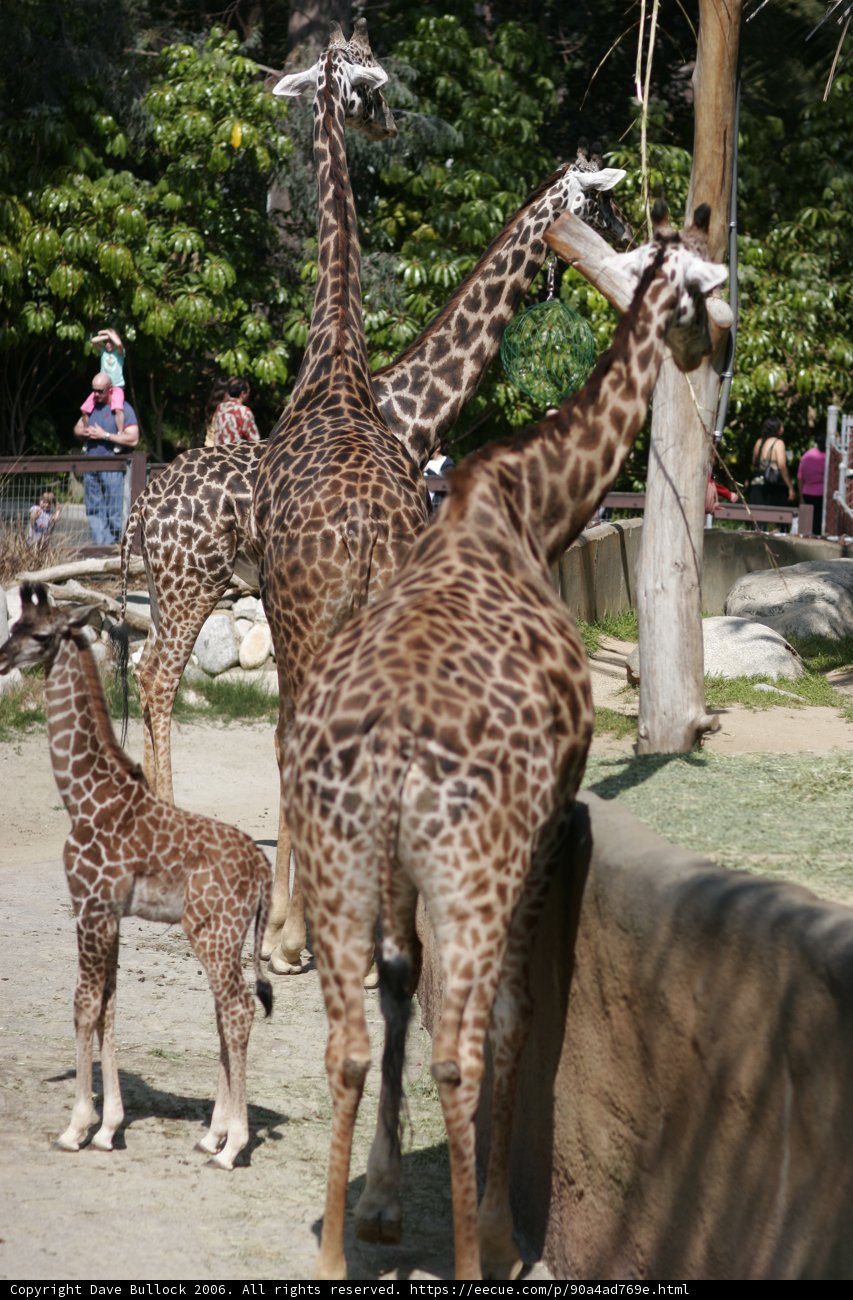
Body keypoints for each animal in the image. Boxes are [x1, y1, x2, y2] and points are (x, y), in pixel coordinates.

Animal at [0, 583, 273, 1170]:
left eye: (40, 634)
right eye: (13, 627)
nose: (2, 659)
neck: (82, 798)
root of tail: (264, 870)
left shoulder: (89, 904)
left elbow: (83, 1005)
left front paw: (76, 1127)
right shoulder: (111, 914)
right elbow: (108, 1004)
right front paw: (108, 1128)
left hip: (212, 931)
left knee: (238, 1009)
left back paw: (231, 1146)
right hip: (225, 935)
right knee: (226, 1010)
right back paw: (211, 1135)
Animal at [117, 156, 628, 808]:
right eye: (605, 200)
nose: (629, 235)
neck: (416, 416)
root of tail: (141, 506)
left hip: (165, 585)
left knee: (145, 666)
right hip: (194, 581)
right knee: (160, 675)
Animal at [281, 203, 726, 1278]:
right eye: (705, 287)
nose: (719, 342)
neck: (532, 506)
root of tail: (388, 756)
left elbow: (401, 989)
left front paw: (383, 1204)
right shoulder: (543, 822)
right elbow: (517, 1015)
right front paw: (486, 1224)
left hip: (343, 856)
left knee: (346, 1044)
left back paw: (332, 1254)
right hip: (465, 865)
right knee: (462, 1045)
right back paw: (476, 1255)